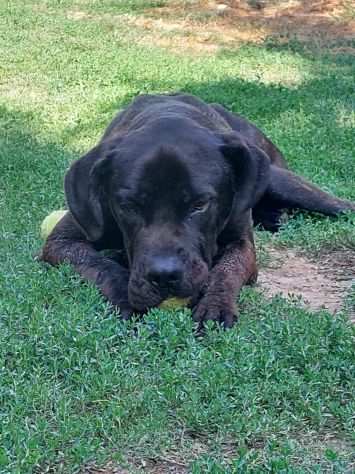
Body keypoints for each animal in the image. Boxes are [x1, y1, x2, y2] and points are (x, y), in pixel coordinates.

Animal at [39, 93, 355, 330]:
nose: (164, 275)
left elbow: (228, 270)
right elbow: (98, 265)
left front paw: (215, 304)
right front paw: (125, 293)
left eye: (200, 204)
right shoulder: (61, 241)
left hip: (283, 180)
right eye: (128, 206)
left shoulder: (242, 244)